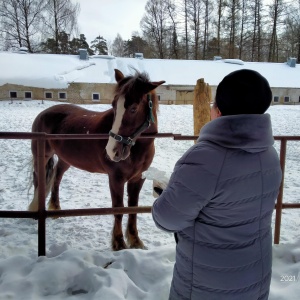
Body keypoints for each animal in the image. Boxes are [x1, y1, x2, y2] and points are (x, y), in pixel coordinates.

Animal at [27, 68, 164, 251]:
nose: (112, 151)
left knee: (56, 178)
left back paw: (55, 208)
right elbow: (118, 209)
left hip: (65, 160)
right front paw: (119, 243)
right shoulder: (116, 179)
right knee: (39, 181)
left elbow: (133, 208)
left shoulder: (137, 179)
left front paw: (135, 242)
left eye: (133, 109)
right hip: (41, 157)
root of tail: (43, 113)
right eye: (114, 105)